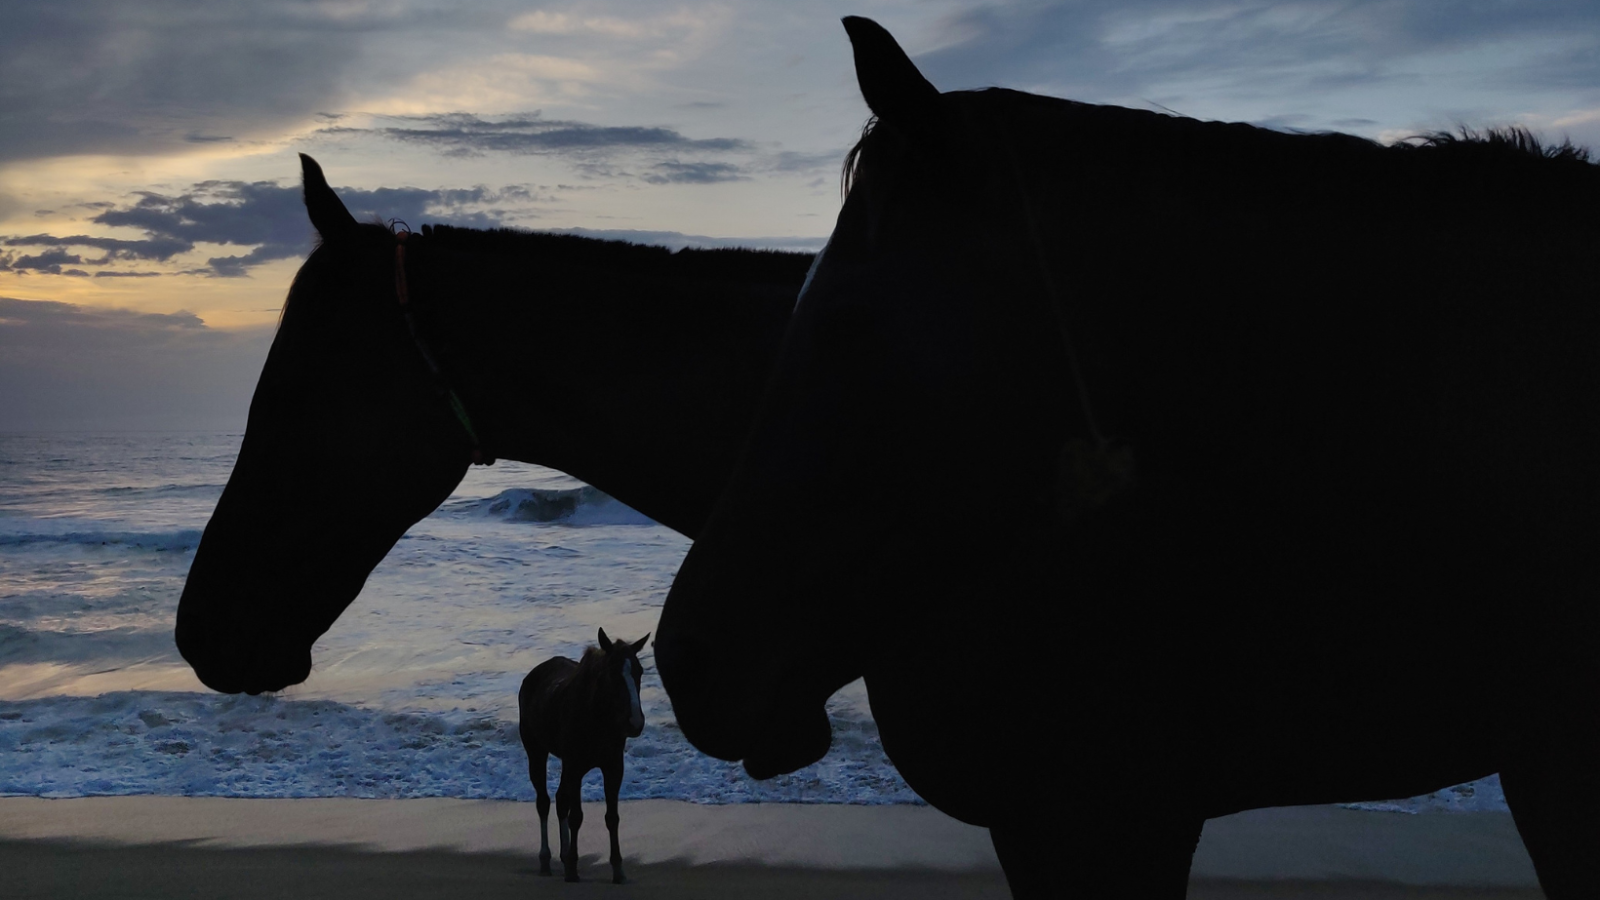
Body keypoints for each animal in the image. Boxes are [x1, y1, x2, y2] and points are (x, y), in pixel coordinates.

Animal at [524, 627, 649, 877]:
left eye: (639, 671)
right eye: (613, 673)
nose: (635, 722)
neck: (597, 717)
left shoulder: (613, 766)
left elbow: (612, 817)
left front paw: (617, 868)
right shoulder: (575, 765)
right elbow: (576, 816)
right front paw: (573, 867)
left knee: (560, 800)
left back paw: (563, 855)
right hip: (536, 752)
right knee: (544, 802)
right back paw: (546, 859)